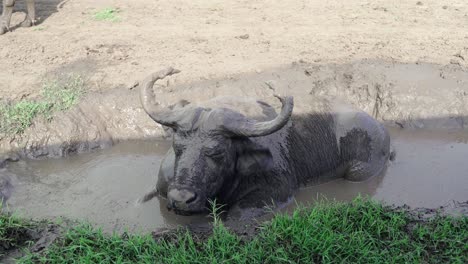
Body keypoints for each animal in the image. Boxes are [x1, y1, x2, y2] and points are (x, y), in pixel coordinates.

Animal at [140, 67, 392, 216]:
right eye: (178, 147)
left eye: (217, 152)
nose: (181, 199)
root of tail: (381, 128)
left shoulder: (275, 191)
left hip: (360, 171)